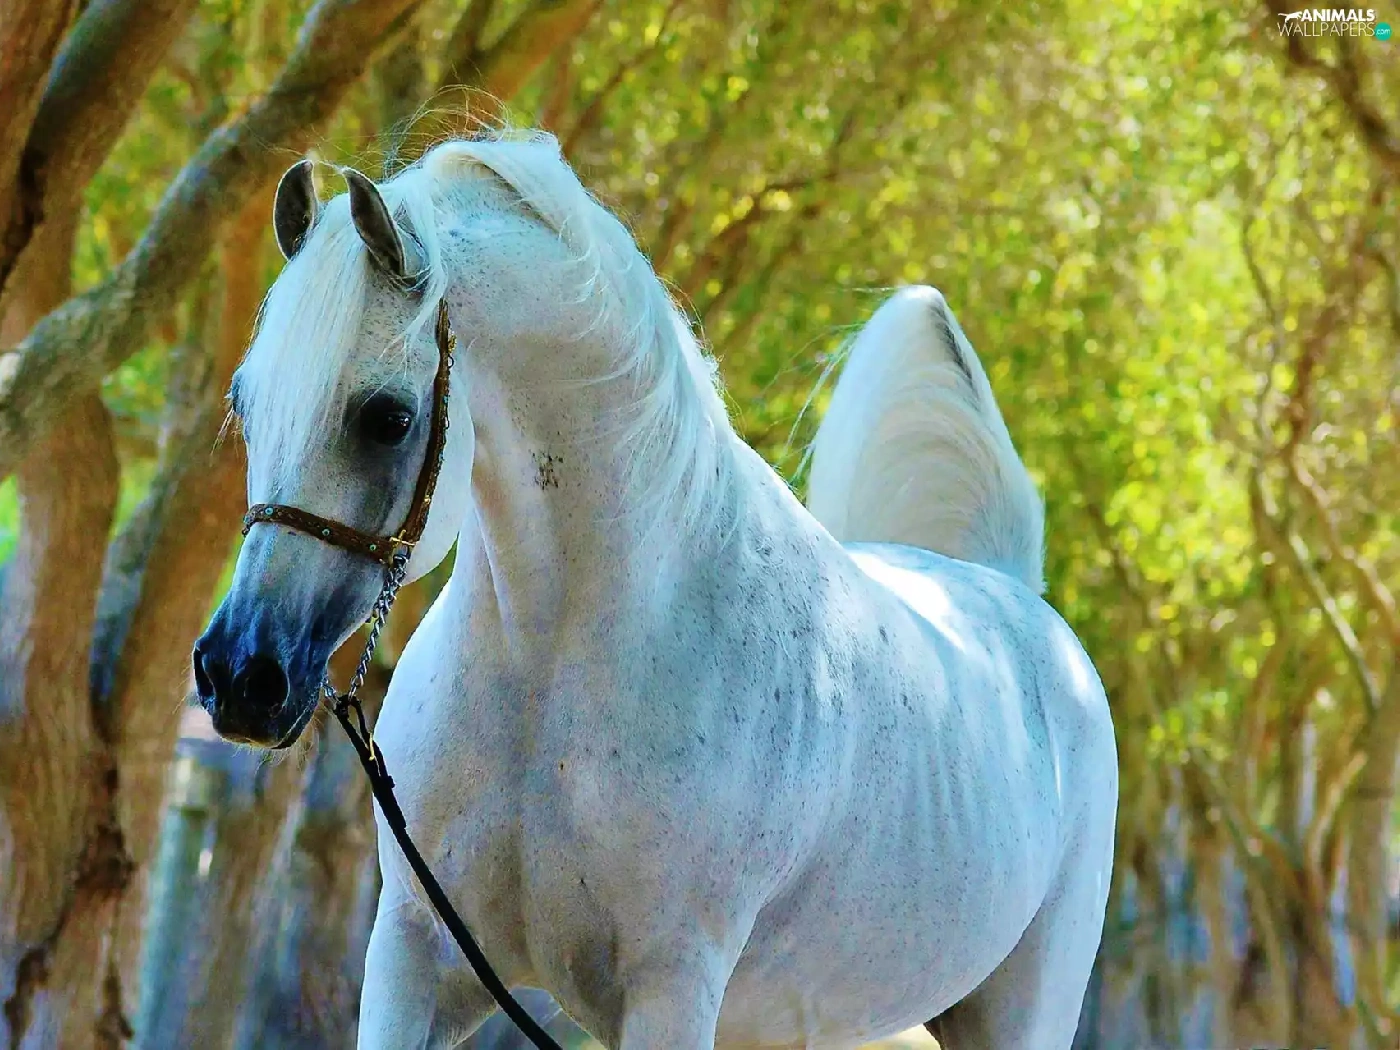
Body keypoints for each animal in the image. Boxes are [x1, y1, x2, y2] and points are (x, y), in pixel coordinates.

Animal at [193, 128, 1118, 1049]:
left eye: (386, 416)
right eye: (246, 402)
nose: (239, 676)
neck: (552, 673)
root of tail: (1013, 592)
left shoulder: (672, 991)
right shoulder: (413, 954)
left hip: (1020, 1012)